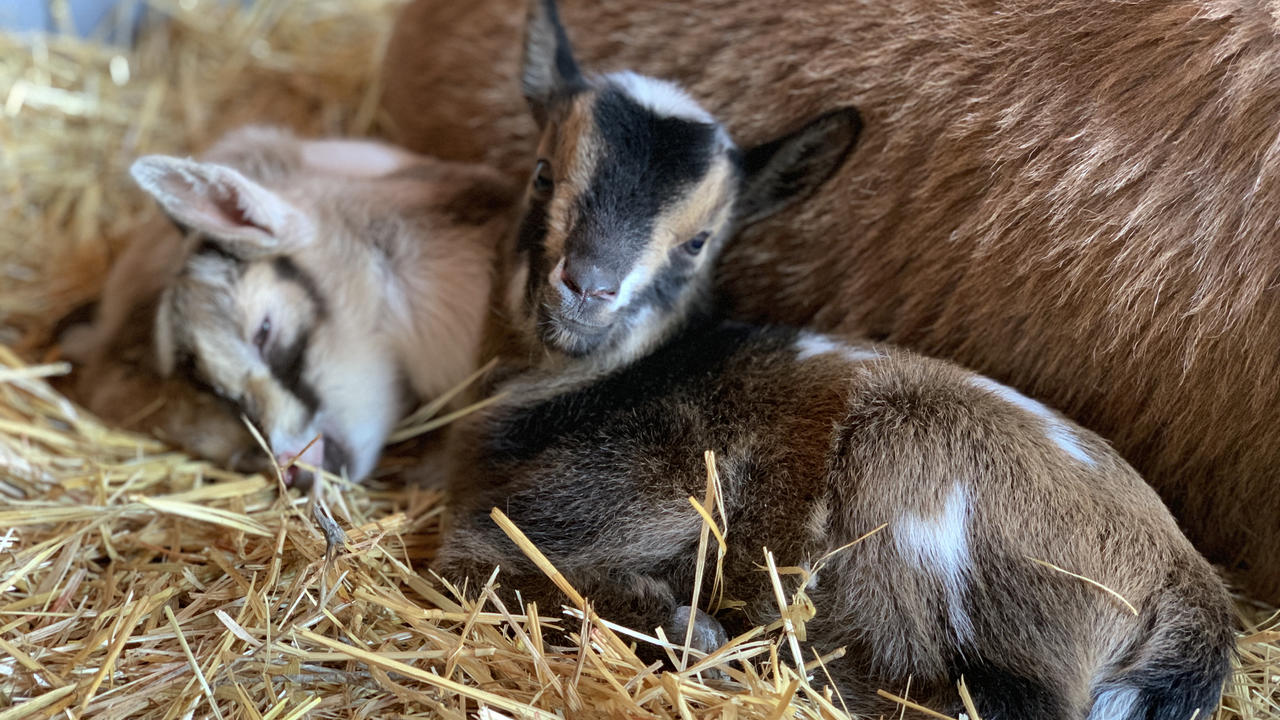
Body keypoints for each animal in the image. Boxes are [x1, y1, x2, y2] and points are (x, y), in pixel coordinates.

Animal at [435, 3, 1237, 717]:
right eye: (542, 174)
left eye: (699, 241)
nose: (588, 287)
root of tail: (1188, 584)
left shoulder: (621, 503)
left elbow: (480, 564)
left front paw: (691, 632)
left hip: (910, 460)